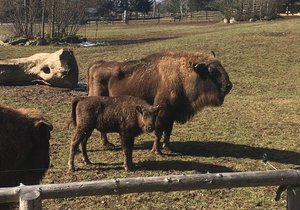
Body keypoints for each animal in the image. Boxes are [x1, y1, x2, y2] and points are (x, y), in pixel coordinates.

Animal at [88, 51, 233, 155]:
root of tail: (95, 65)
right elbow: (158, 132)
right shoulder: (160, 113)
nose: (229, 85)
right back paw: (107, 144)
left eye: (221, 66)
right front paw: (157, 151)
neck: (182, 75)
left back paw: (107, 144)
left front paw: (168, 147)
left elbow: (168, 131)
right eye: (213, 72)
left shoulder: (171, 115)